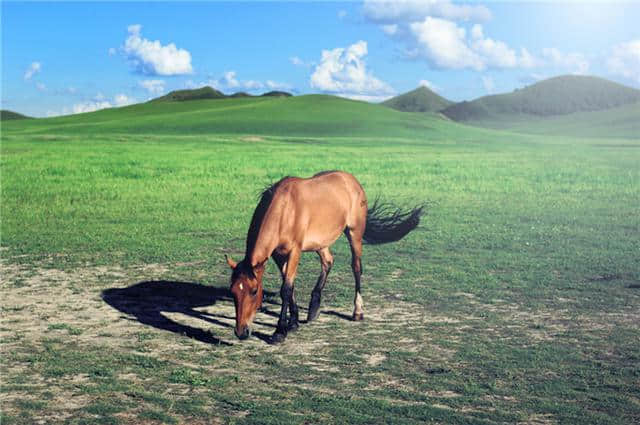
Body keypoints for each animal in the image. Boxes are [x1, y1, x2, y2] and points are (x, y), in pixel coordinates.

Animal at [222, 169, 422, 342]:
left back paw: (357, 312)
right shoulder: (278, 255)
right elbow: (290, 286)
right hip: (321, 242)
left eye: (254, 291)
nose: (241, 332)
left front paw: (280, 331)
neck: (285, 210)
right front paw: (293, 322)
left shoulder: (294, 251)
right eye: (233, 291)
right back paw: (314, 308)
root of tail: (351, 180)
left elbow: (286, 289)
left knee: (356, 267)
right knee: (328, 262)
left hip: (354, 233)